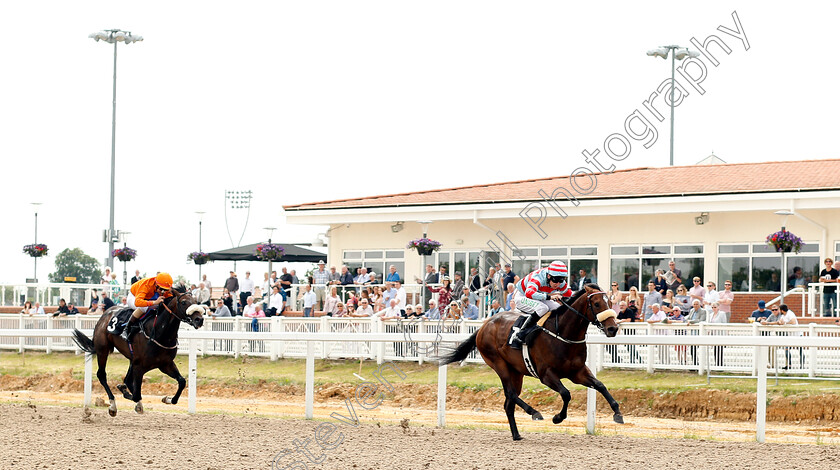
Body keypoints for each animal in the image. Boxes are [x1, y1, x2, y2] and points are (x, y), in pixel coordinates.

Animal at [72, 286, 207, 414]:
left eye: (196, 301)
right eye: (184, 302)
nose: (199, 319)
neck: (159, 333)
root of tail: (105, 314)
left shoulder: (165, 364)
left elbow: (182, 382)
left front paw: (167, 399)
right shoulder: (140, 365)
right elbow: (136, 395)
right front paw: (127, 395)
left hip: (131, 360)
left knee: (127, 379)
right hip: (103, 350)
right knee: (102, 375)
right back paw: (113, 405)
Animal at [440, 282, 624, 440]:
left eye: (610, 302)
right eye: (597, 303)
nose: (613, 328)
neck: (563, 334)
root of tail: (484, 325)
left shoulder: (577, 372)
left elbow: (600, 385)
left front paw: (617, 414)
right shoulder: (546, 375)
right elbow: (566, 393)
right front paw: (557, 417)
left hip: (516, 372)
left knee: (508, 403)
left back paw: (516, 435)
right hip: (499, 364)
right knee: (511, 394)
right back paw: (534, 412)